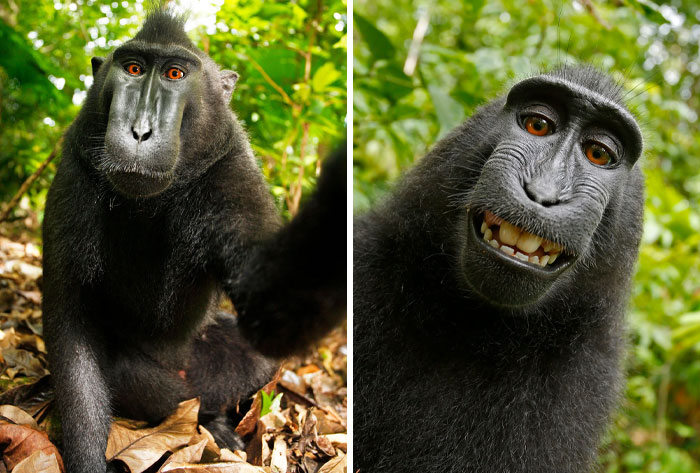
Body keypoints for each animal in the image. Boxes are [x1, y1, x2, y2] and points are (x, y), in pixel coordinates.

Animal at [41, 10, 345, 473]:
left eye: (174, 74)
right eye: (133, 69)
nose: (140, 131)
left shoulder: (231, 171)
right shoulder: (76, 173)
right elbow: (71, 324)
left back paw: (216, 423)